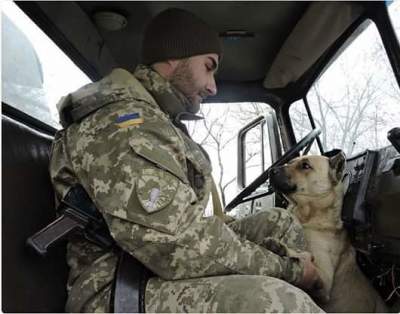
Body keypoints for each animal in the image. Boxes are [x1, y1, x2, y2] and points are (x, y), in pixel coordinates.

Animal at [270, 151, 386, 312]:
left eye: (305, 165)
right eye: (291, 161)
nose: (271, 170)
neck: (310, 215)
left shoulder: (323, 283)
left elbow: (304, 256)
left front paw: (285, 250)